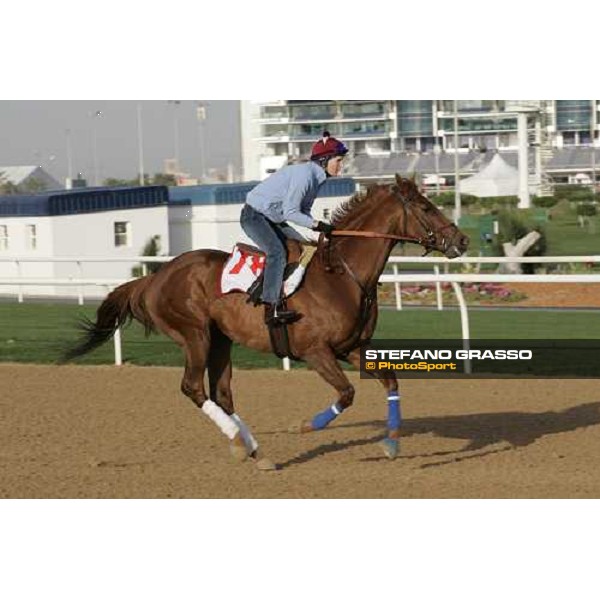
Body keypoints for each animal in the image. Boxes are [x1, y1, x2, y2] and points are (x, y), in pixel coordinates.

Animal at [63, 176, 466, 472]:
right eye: (426, 207)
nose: (461, 240)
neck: (343, 276)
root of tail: (155, 276)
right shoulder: (315, 351)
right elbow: (347, 394)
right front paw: (304, 425)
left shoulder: (353, 347)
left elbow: (391, 381)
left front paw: (392, 442)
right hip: (194, 335)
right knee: (193, 388)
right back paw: (242, 444)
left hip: (221, 339)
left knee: (221, 393)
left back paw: (254, 450)